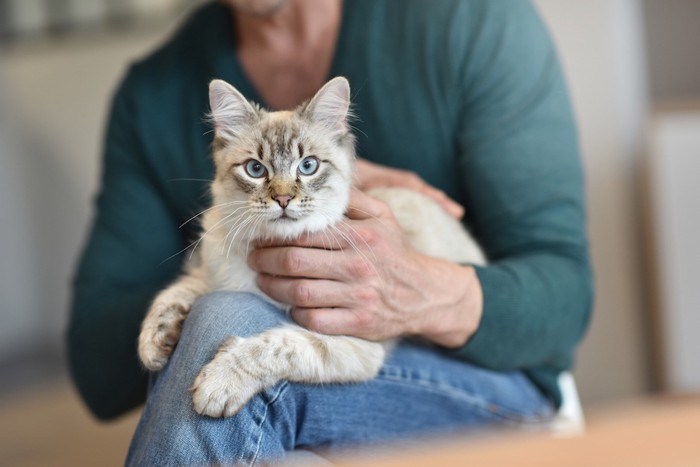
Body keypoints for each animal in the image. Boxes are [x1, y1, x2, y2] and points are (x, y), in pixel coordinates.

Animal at [137, 77, 486, 420]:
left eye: (307, 166)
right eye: (255, 169)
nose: (282, 199)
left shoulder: (351, 341)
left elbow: (275, 346)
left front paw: (218, 383)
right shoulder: (217, 275)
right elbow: (176, 292)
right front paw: (154, 342)